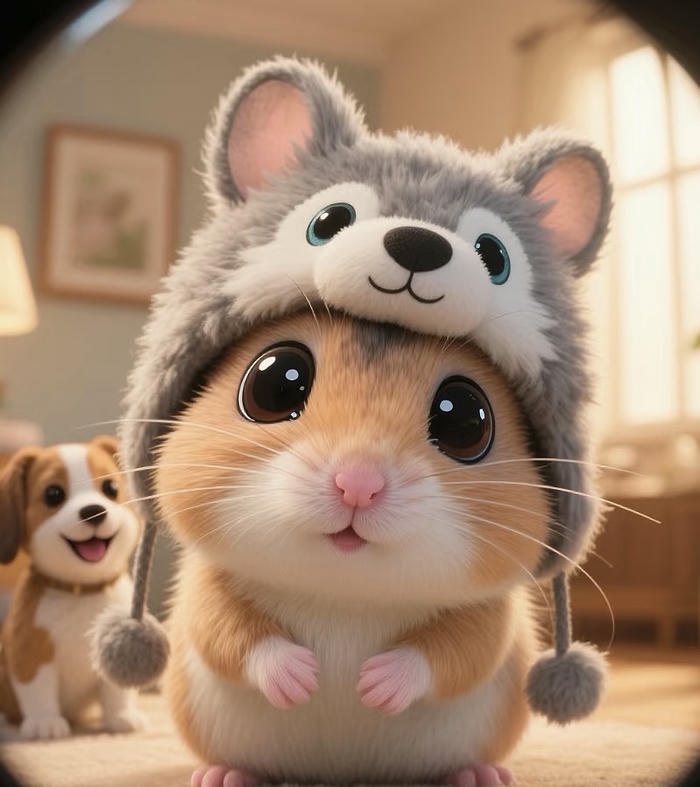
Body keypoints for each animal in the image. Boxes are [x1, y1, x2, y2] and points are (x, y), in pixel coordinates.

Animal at [155, 310, 550, 786]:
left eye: (467, 421)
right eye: (273, 384)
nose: (358, 485)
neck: (343, 590)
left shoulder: (489, 611)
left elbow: (462, 651)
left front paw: (372, 685)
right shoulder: (208, 585)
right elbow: (228, 630)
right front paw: (304, 679)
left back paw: (477, 775)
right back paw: (225, 775)